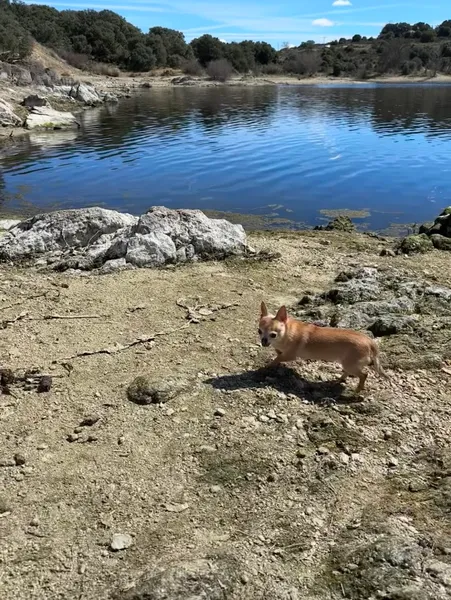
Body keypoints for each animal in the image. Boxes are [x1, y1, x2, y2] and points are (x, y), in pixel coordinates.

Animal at [258, 300, 388, 394]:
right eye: (259, 331)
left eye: (273, 335)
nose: (264, 341)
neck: (286, 332)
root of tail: (370, 341)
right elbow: (278, 353)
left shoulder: (291, 355)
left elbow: (278, 358)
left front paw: (268, 366)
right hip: (347, 363)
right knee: (349, 372)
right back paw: (340, 379)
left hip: (351, 365)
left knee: (364, 375)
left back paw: (357, 390)